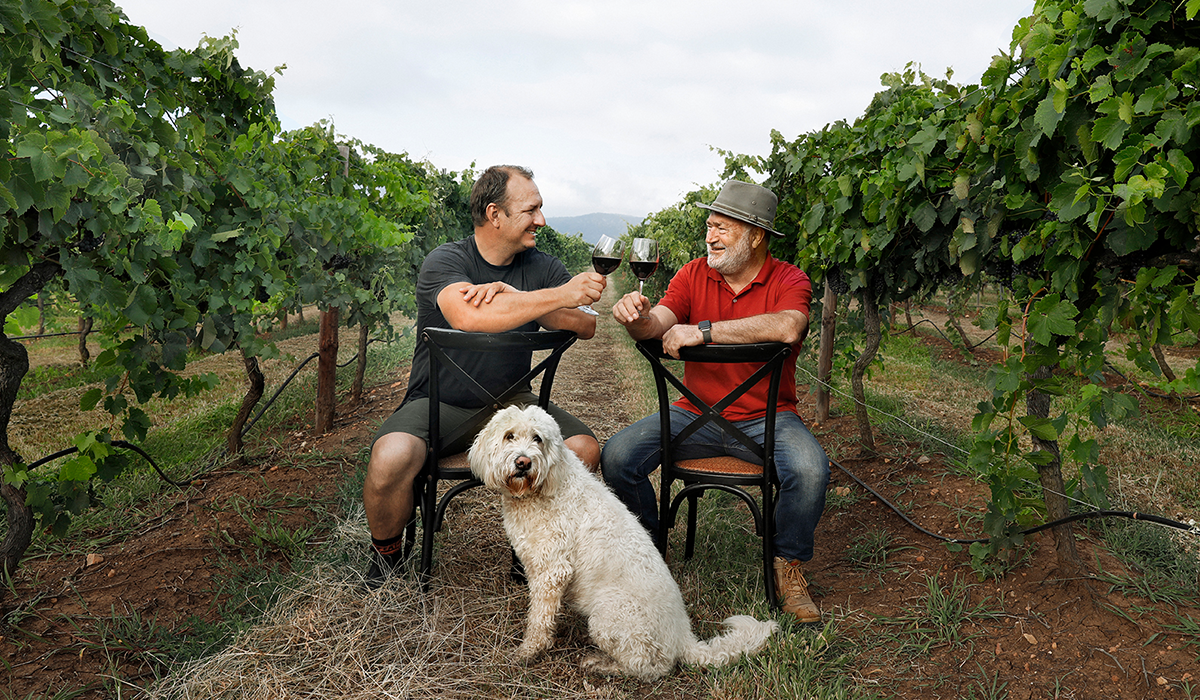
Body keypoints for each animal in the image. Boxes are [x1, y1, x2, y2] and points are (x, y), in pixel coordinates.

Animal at [468, 403, 777, 681]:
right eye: (509, 436)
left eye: (537, 439)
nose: (523, 463)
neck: (545, 487)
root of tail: (683, 637)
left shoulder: (552, 572)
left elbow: (539, 620)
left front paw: (528, 652)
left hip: (609, 615)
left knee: (651, 666)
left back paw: (602, 665)